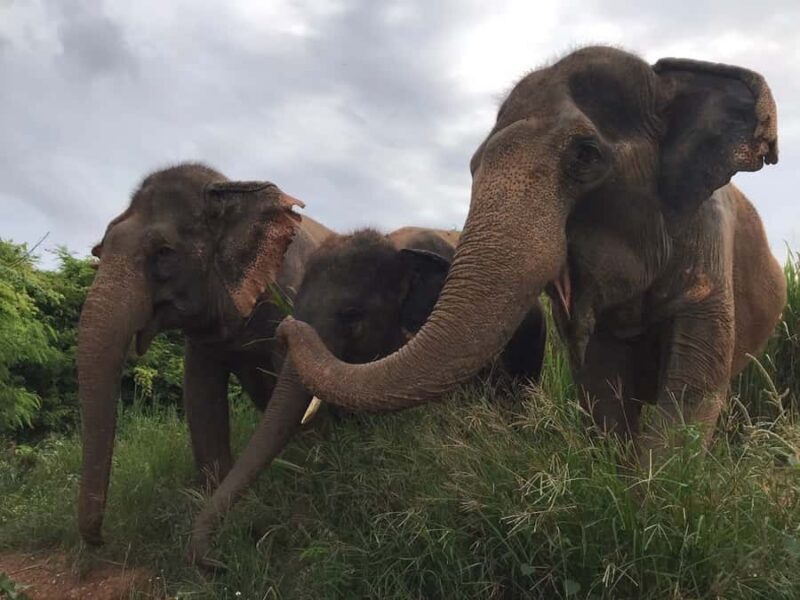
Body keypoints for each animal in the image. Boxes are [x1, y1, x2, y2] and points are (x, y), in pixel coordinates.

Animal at [76, 162, 333, 546]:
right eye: (99, 252)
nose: (103, 538)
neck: (227, 189)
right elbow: (200, 398)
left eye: (164, 252)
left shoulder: (289, 296)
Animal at [277, 46, 786, 461]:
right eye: (472, 165)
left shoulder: (708, 245)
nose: (286, 326)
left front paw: (651, 496)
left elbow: (690, 389)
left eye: (585, 155)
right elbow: (601, 379)